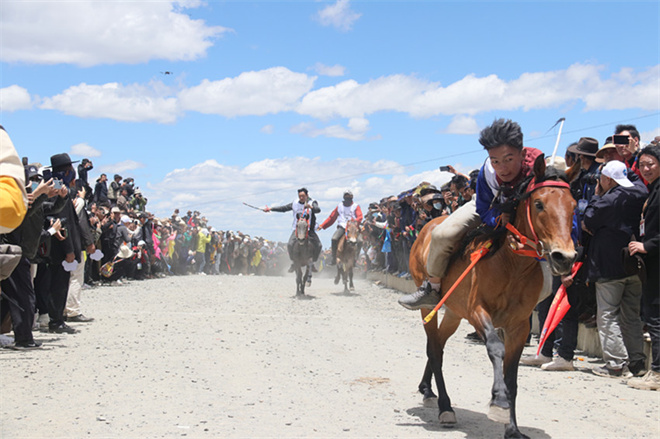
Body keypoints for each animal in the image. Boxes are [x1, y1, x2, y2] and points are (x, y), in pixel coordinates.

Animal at [410, 156, 576, 438]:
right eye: (539, 204)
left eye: (574, 205)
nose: (564, 257)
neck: (511, 266)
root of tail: (427, 227)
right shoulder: (478, 311)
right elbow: (496, 349)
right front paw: (498, 401)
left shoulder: (519, 325)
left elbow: (512, 374)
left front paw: (513, 428)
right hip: (430, 305)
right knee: (434, 347)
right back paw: (445, 406)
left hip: (454, 311)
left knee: (438, 345)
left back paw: (427, 389)